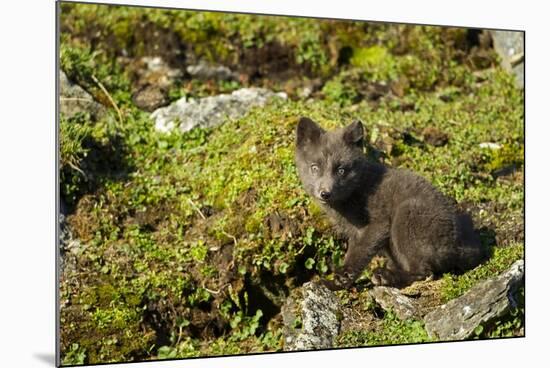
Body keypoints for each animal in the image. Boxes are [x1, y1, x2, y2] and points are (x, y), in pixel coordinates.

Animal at [298, 118, 488, 290]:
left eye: (341, 170)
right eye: (314, 168)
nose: (325, 193)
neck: (356, 189)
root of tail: (459, 247)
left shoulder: (377, 225)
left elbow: (357, 256)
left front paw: (336, 281)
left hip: (406, 216)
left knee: (424, 272)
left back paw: (385, 276)